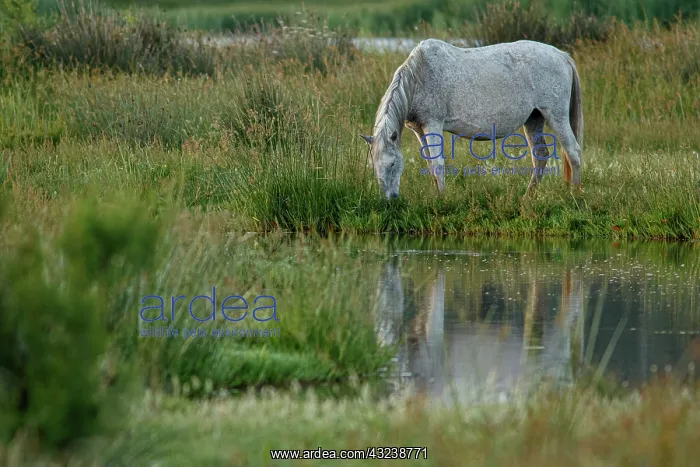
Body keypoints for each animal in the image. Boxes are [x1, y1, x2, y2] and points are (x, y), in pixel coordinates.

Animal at [360, 39, 583, 199]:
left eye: (392, 164)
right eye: (373, 166)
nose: (389, 200)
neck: (419, 77)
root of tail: (561, 55)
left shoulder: (432, 124)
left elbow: (438, 163)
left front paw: (443, 199)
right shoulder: (419, 129)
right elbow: (430, 165)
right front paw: (436, 196)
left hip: (556, 115)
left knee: (573, 152)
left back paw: (574, 195)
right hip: (534, 119)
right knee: (540, 157)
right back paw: (527, 198)